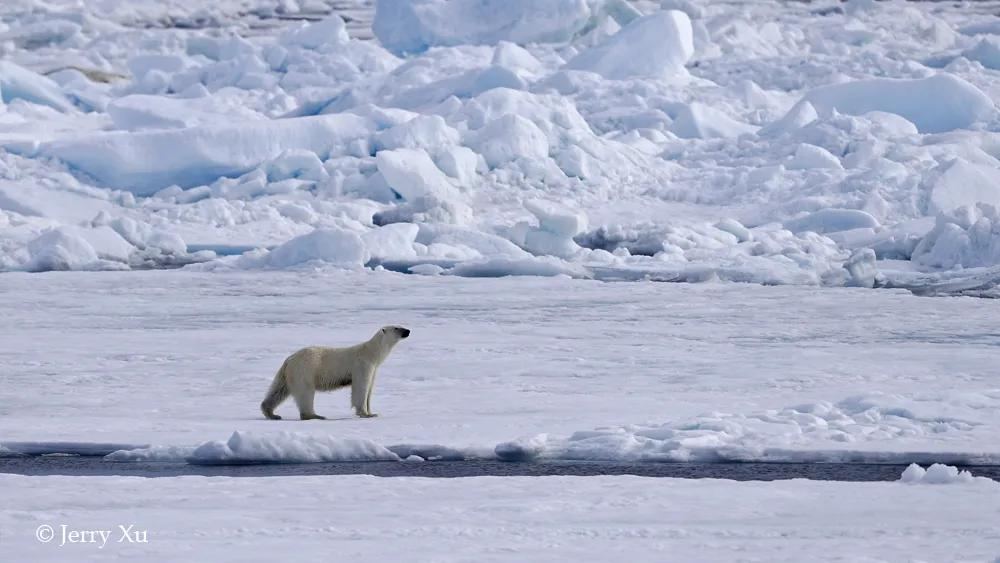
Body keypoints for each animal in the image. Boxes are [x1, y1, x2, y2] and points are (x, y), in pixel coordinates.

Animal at [264, 324, 412, 420]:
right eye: (397, 328)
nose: (408, 331)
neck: (371, 353)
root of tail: (289, 359)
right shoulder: (362, 365)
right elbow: (361, 388)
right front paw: (365, 413)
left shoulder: (374, 369)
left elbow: (369, 390)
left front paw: (372, 412)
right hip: (305, 370)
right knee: (306, 393)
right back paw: (315, 415)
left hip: (288, 373)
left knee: (278, 391)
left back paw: (271, 413)